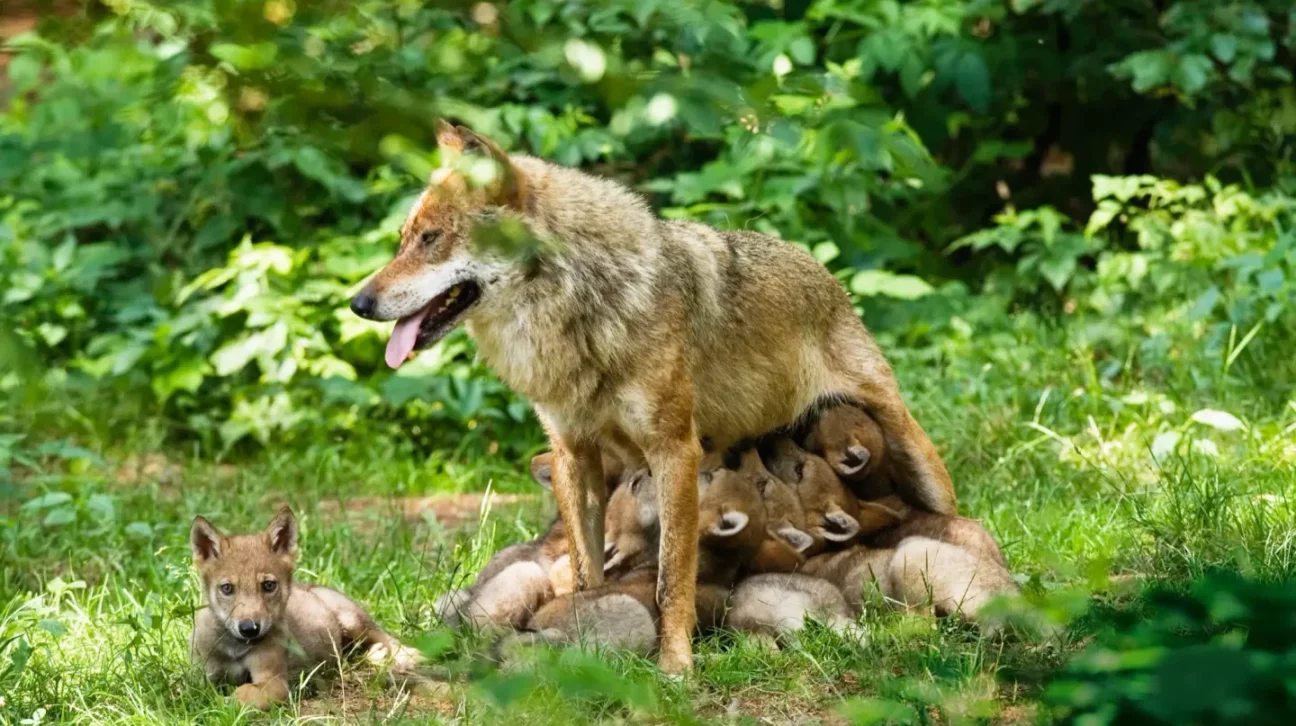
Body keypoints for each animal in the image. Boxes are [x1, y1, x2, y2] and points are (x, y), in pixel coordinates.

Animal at [190, 507, 420, 709]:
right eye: (227, 588)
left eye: (268, 585)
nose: (249, 629)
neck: (234, 648)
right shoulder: (201, 675)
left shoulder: (274, 681)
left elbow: (243, 692)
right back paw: (376, 656)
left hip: (353, 621)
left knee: (385, 636)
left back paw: (406, 656)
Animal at [349, 121, 956, 672]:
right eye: (404, 238)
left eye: (430, 239)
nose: (358, 302)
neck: (579, 312)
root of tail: (822, 272)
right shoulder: (574, 456)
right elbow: (587, 569)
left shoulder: (674, 452)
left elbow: (671, 579)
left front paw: (675, 666)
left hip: (917, 457)